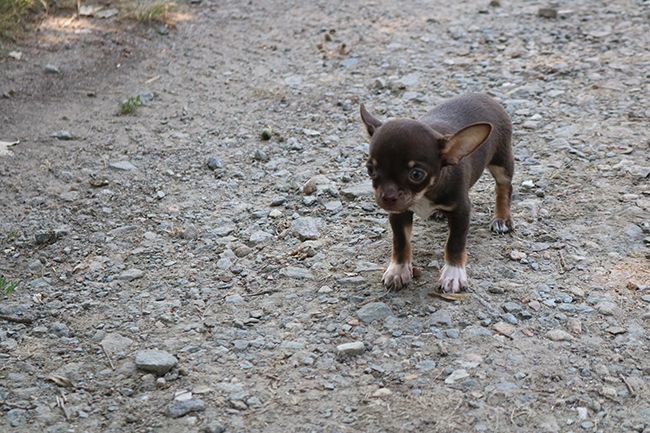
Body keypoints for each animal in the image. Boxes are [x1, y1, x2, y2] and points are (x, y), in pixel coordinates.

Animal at [360, 93, 513, 293]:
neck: (425, 193)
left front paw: (454, 274)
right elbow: (400, 242)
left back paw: (502, 218)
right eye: (370, 170)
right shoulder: (399, 213)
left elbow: (454, 243)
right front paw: (399, 269)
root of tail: (484, 96)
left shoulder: (461, 211)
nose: (387, 197)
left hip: (502, 162)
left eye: (416, 174)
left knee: (504, 187)